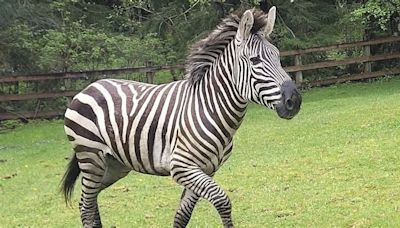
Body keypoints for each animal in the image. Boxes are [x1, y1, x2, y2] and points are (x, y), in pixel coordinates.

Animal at [61, 7, 302, 228]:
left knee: (88, 201)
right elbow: (222, 200)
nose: (295, 101)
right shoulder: (181, 166)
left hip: (114, 165)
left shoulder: (205, 169)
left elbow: (182, 216)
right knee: (86, 205)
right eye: (255, 60)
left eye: (278, 57)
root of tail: (89, 87)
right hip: (91, 156)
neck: (210, 108)